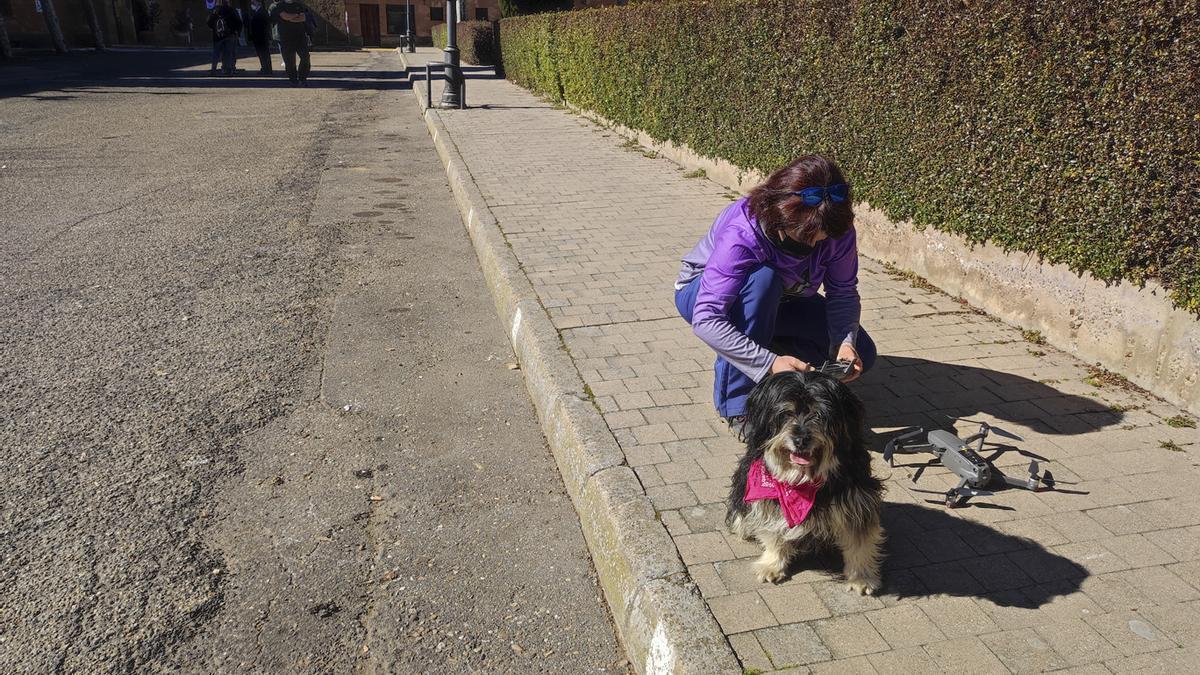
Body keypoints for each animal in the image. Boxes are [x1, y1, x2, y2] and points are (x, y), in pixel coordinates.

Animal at [724, 367, 888, 593]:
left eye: (819, 414)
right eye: (786, 413)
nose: (800, 440)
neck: (803, 481)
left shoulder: (857, 500)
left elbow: (859, 541)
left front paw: (861, 577)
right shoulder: (772, 497)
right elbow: (773, 531)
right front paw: (772, 564)